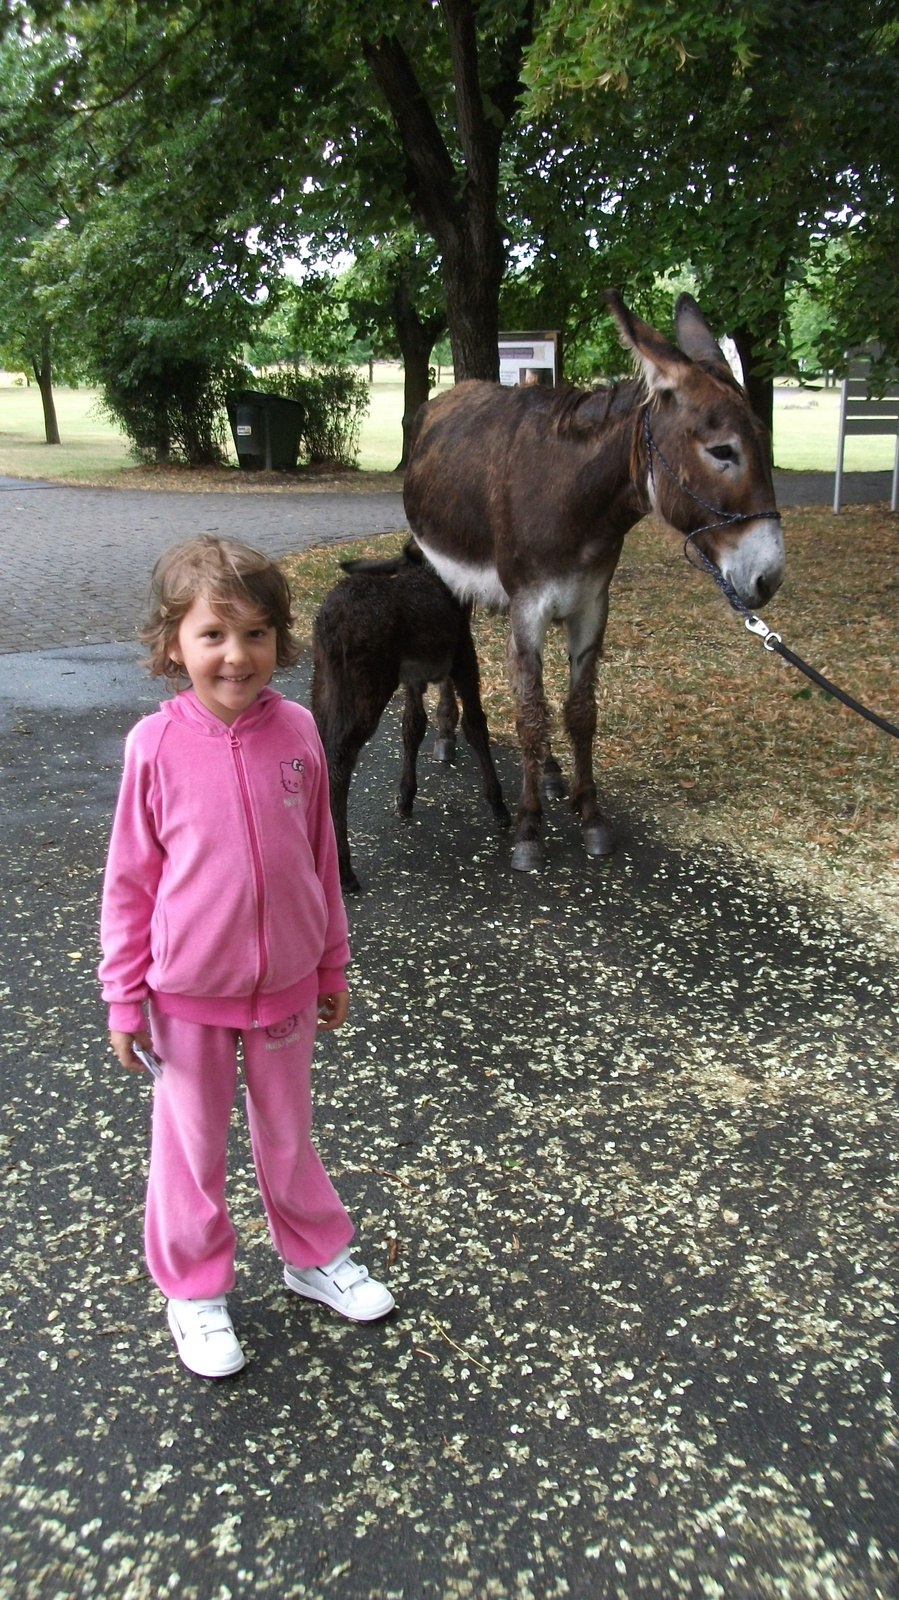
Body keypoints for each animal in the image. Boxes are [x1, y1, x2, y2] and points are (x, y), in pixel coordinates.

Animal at [310, 534, 508, 889]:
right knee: (339, 759)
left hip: (324, 684)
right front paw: (498, 804)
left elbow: (413, 727)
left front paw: (406, 797)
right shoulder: (463, 656)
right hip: (368, 685)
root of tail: (330, 624)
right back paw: (344, 868)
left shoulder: (414, 676)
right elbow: (475, 725)